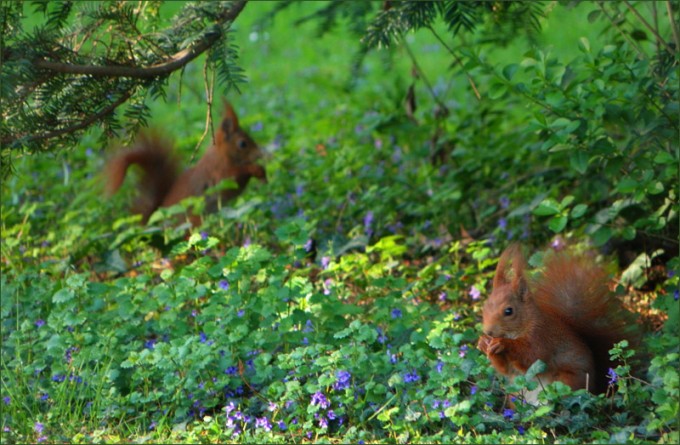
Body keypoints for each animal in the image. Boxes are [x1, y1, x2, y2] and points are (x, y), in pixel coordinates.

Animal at [106, 100, 267, 226]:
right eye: (243, 144)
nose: (260, 154)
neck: (222, 156)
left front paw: (263, 173)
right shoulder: (218, 173)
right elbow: (233, 177)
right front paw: (255, 168)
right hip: (194, 219)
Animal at [477, 244, 640, 396]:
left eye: (509, 311)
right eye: (484, 307)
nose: (488, 331)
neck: (524, 324)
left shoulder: (541, 336)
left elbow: (532, 356)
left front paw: (502, 343)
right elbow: (507, 370)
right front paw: (483, 343)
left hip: (566, 382)